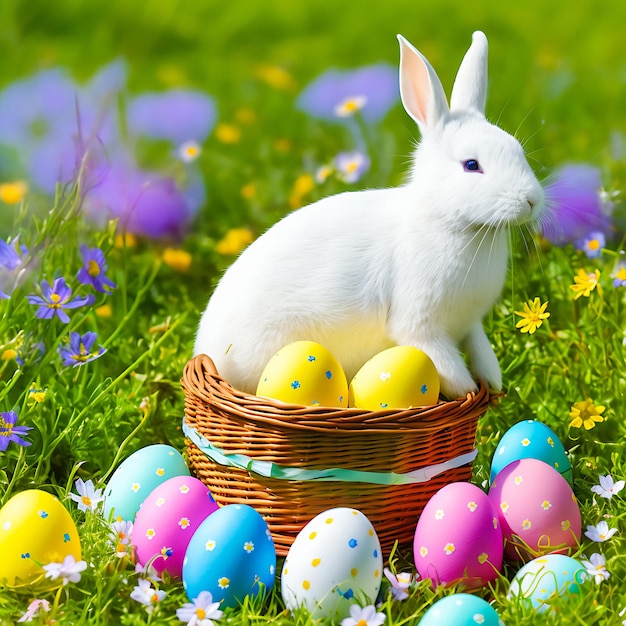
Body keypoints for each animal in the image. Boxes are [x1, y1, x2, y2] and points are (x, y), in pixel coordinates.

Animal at [194, 29, 540, 398]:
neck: (451, 224)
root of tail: (205, 350)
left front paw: (494, 384)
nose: (532, 200)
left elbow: (481, 349)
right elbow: (446, 366)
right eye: (471, 165)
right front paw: (468, 392)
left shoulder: (470, 323)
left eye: (518, 150)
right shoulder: (420, 328)